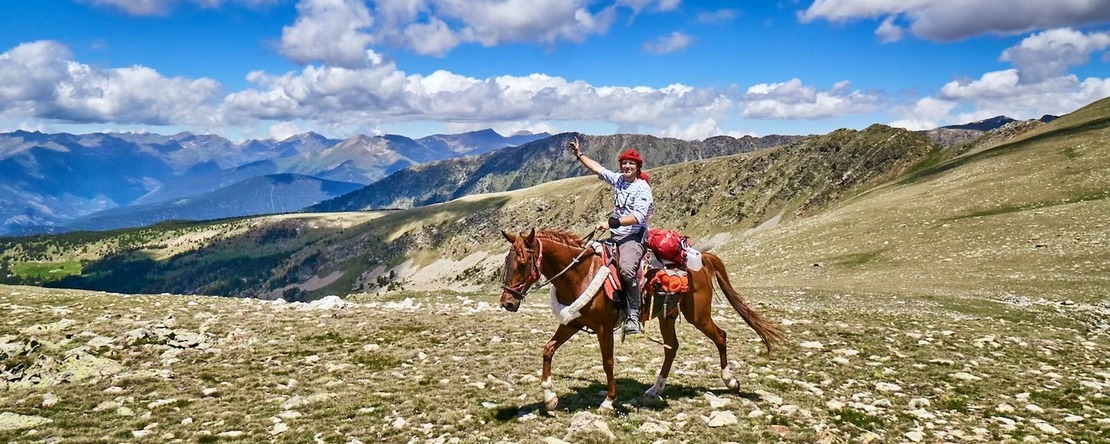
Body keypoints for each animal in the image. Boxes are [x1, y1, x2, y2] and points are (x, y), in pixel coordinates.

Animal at [499, 228, 785, 412]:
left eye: (523, 263)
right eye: (507, 262)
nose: (507, 303)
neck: (581, 273)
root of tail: (701, 259)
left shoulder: (603, 328)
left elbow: (608, 362)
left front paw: (608, 401)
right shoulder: (572, 322)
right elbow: (548, 350)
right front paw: (549, 398)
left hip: (698, 315)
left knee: (720, 336)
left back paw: (730, 381)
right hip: (667, 316)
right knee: (672, 348)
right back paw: (654, 390)